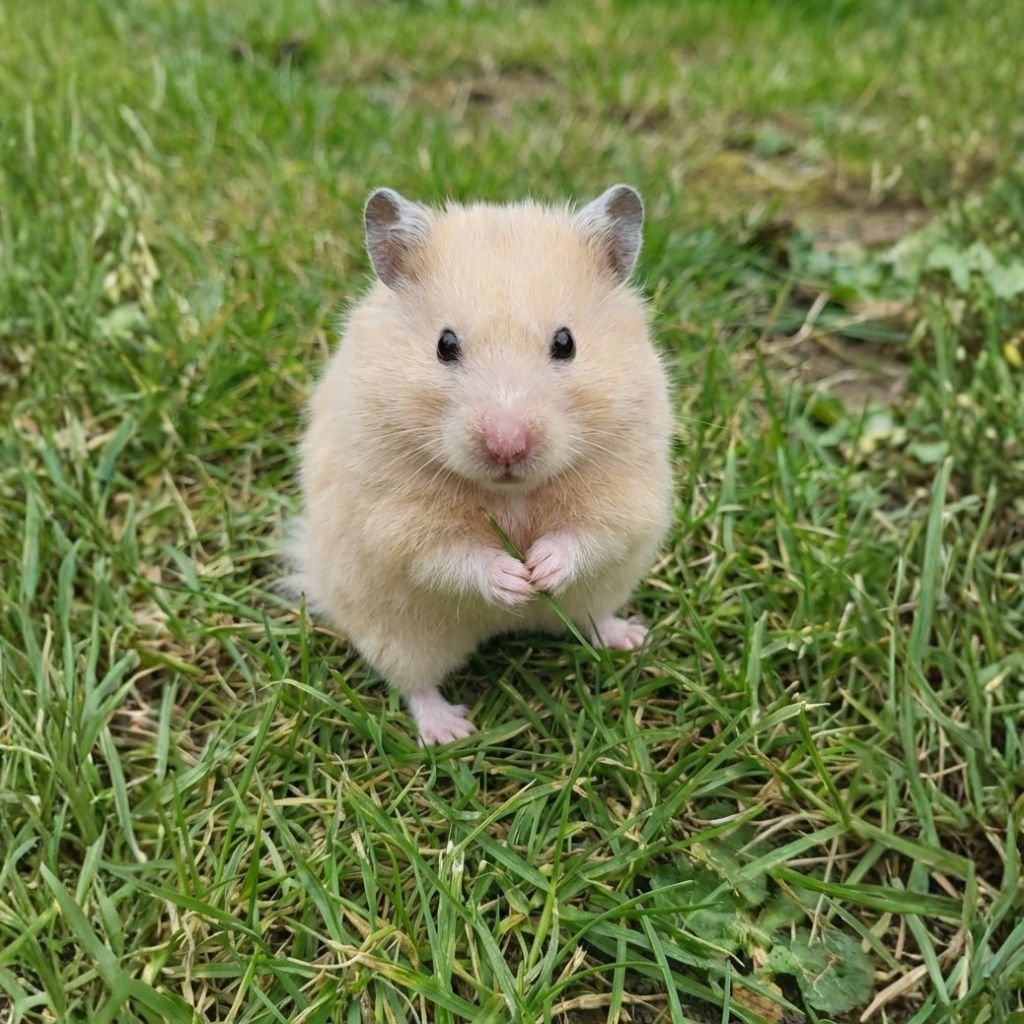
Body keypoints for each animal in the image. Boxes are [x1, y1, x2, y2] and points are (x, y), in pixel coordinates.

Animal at [290, 184, 674, 745]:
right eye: (445, 345)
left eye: (566, 343)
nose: (507, 446)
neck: (511, 492)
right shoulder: (397, 520)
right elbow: (449, 554)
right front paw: (516, 580)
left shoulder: (626, 490)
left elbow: (588, 534)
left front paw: (540, 570)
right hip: (399, 634)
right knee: (414, 684)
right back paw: (449, 732)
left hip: (601, 589)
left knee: (592, 615)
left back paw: (630, 638)